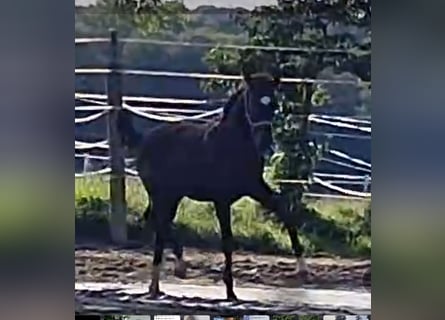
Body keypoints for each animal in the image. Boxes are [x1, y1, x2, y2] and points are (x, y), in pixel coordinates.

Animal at [116, 70, 306, 300]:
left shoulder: (255, 188)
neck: (232, 145)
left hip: (172, 195)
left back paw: (161, 282)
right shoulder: (221, 199)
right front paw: (230, 290)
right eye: (252, 101)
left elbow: (284, 211)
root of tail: (144, 139)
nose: (266, 145)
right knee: (159, 222)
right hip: (163, 194)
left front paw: (302, 267)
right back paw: (171, 272)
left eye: (274, 105)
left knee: (157, 221)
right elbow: (227, 240)